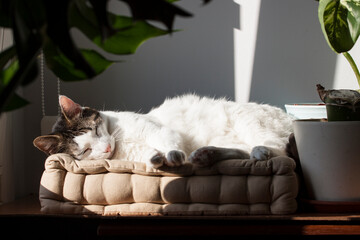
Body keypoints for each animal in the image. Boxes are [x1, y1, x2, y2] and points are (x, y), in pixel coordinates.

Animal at [33, 94, 292, 168]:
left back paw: (261, 152)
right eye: (85, 151)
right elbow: (149, 156)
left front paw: (174, 157)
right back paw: (205, 155)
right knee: (241, 152)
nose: (106, 148)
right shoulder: (134, 154)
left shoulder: (158, 132)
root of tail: (289, 116)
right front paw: (157, 159)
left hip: (248, 122)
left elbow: (169, 145)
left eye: (95, 131)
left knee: (277, 151)